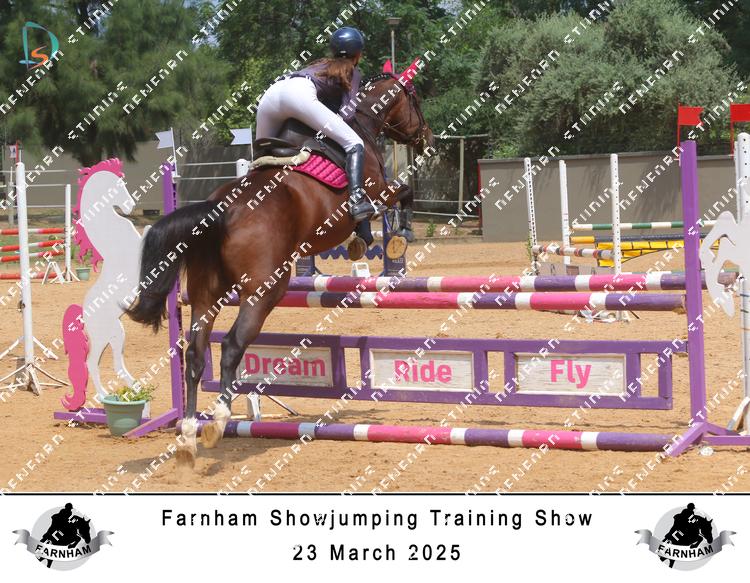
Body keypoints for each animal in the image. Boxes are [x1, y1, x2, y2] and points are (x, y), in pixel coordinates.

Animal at [125, 73, 433, 468]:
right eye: (416, 101)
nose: (427, 137)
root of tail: (221, 211)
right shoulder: (379, 191)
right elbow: (402, 195)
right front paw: (400, 234)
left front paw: (363, 241)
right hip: (266, 290)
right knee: (231, 345)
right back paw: (218, 422)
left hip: (206, 294)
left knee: (195, 353)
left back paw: (190, 433)